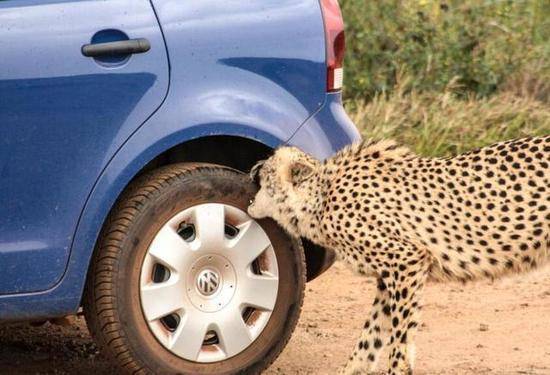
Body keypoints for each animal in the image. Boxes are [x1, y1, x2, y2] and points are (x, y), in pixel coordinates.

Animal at [250, 137, 550, 375]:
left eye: (267, 166)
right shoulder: (389, 277)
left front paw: (399, 368)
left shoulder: (408, 261)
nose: (252, 168)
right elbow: (370, 338)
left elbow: (399, 336)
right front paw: (352, 369)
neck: (321, 197)